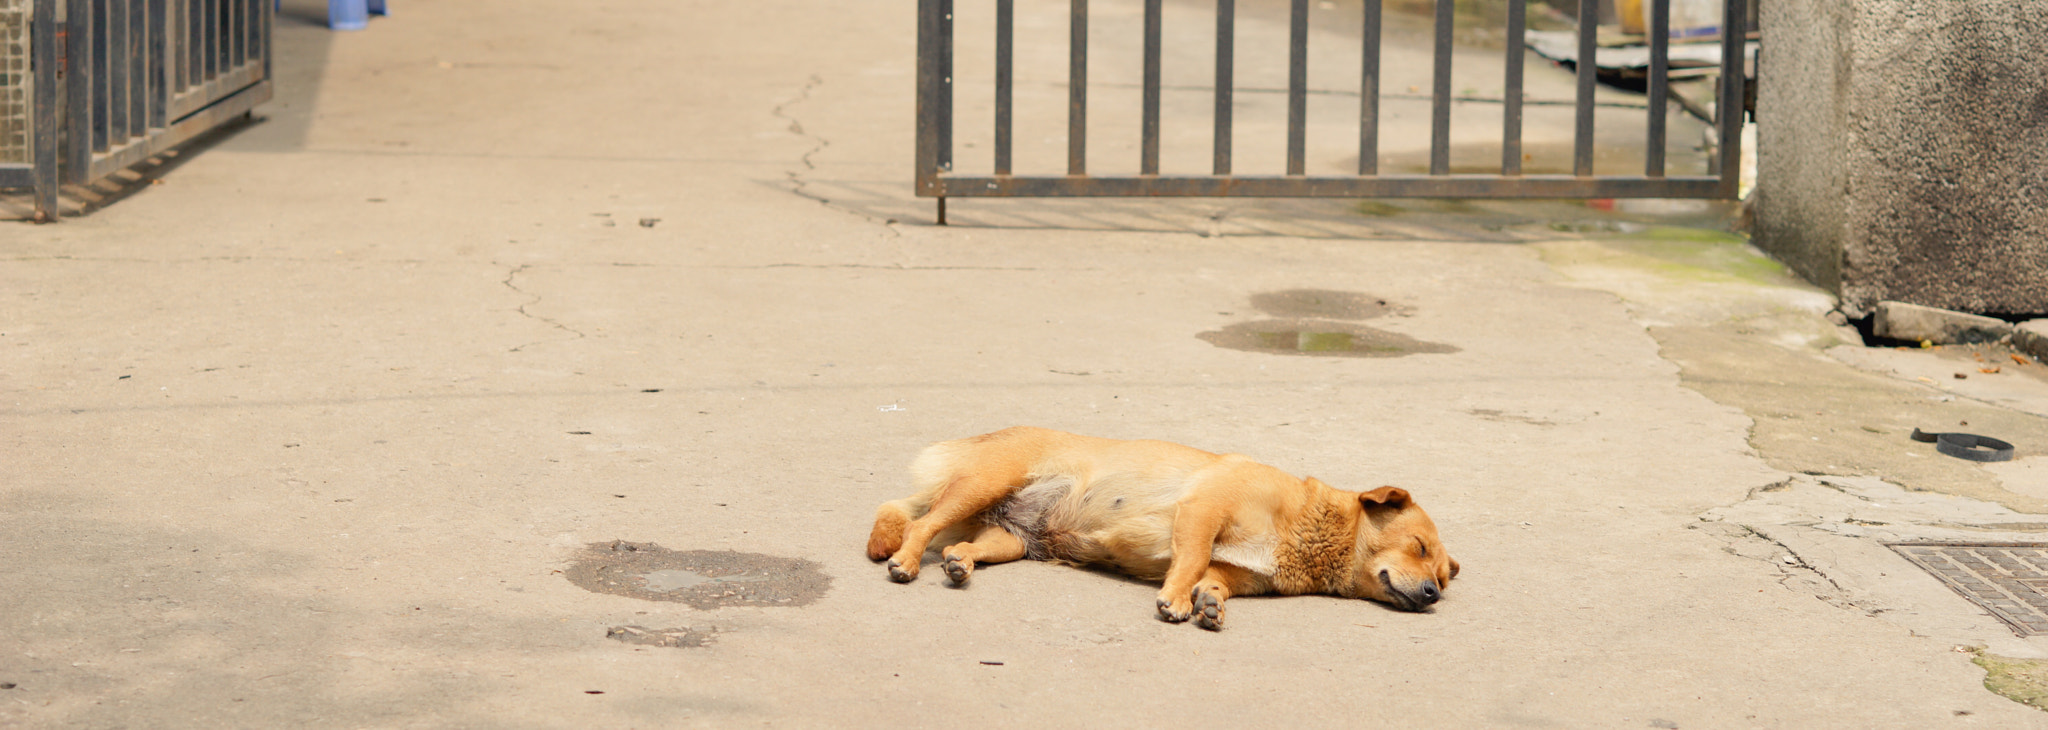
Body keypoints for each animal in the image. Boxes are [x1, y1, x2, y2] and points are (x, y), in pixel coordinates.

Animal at [864, 428, 1458, 627]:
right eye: (1418, 545)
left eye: (1442, 579)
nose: (1432, 595)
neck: (1310, 530)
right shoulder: (1204, 510)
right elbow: (1190, 561)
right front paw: (1175, 601)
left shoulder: (1236, 570)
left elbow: (1212, 579)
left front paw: (1209, 605)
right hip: (981, 485)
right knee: (918, 524)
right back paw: (907, 560)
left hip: (1009, 538)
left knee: (965, 543)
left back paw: (960, 562)